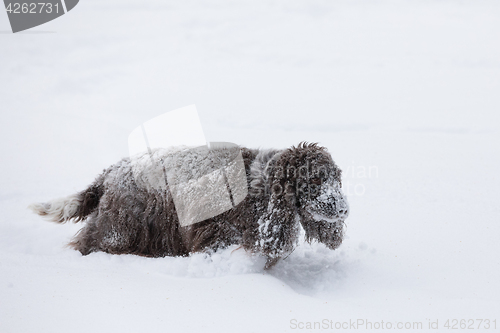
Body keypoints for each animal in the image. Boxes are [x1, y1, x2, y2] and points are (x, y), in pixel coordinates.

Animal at [30, 141, 348, 268]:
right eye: (315, 178)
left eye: (337, 177)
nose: (343, 208)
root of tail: (108, 174)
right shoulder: (214, 235)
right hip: (118, 230)